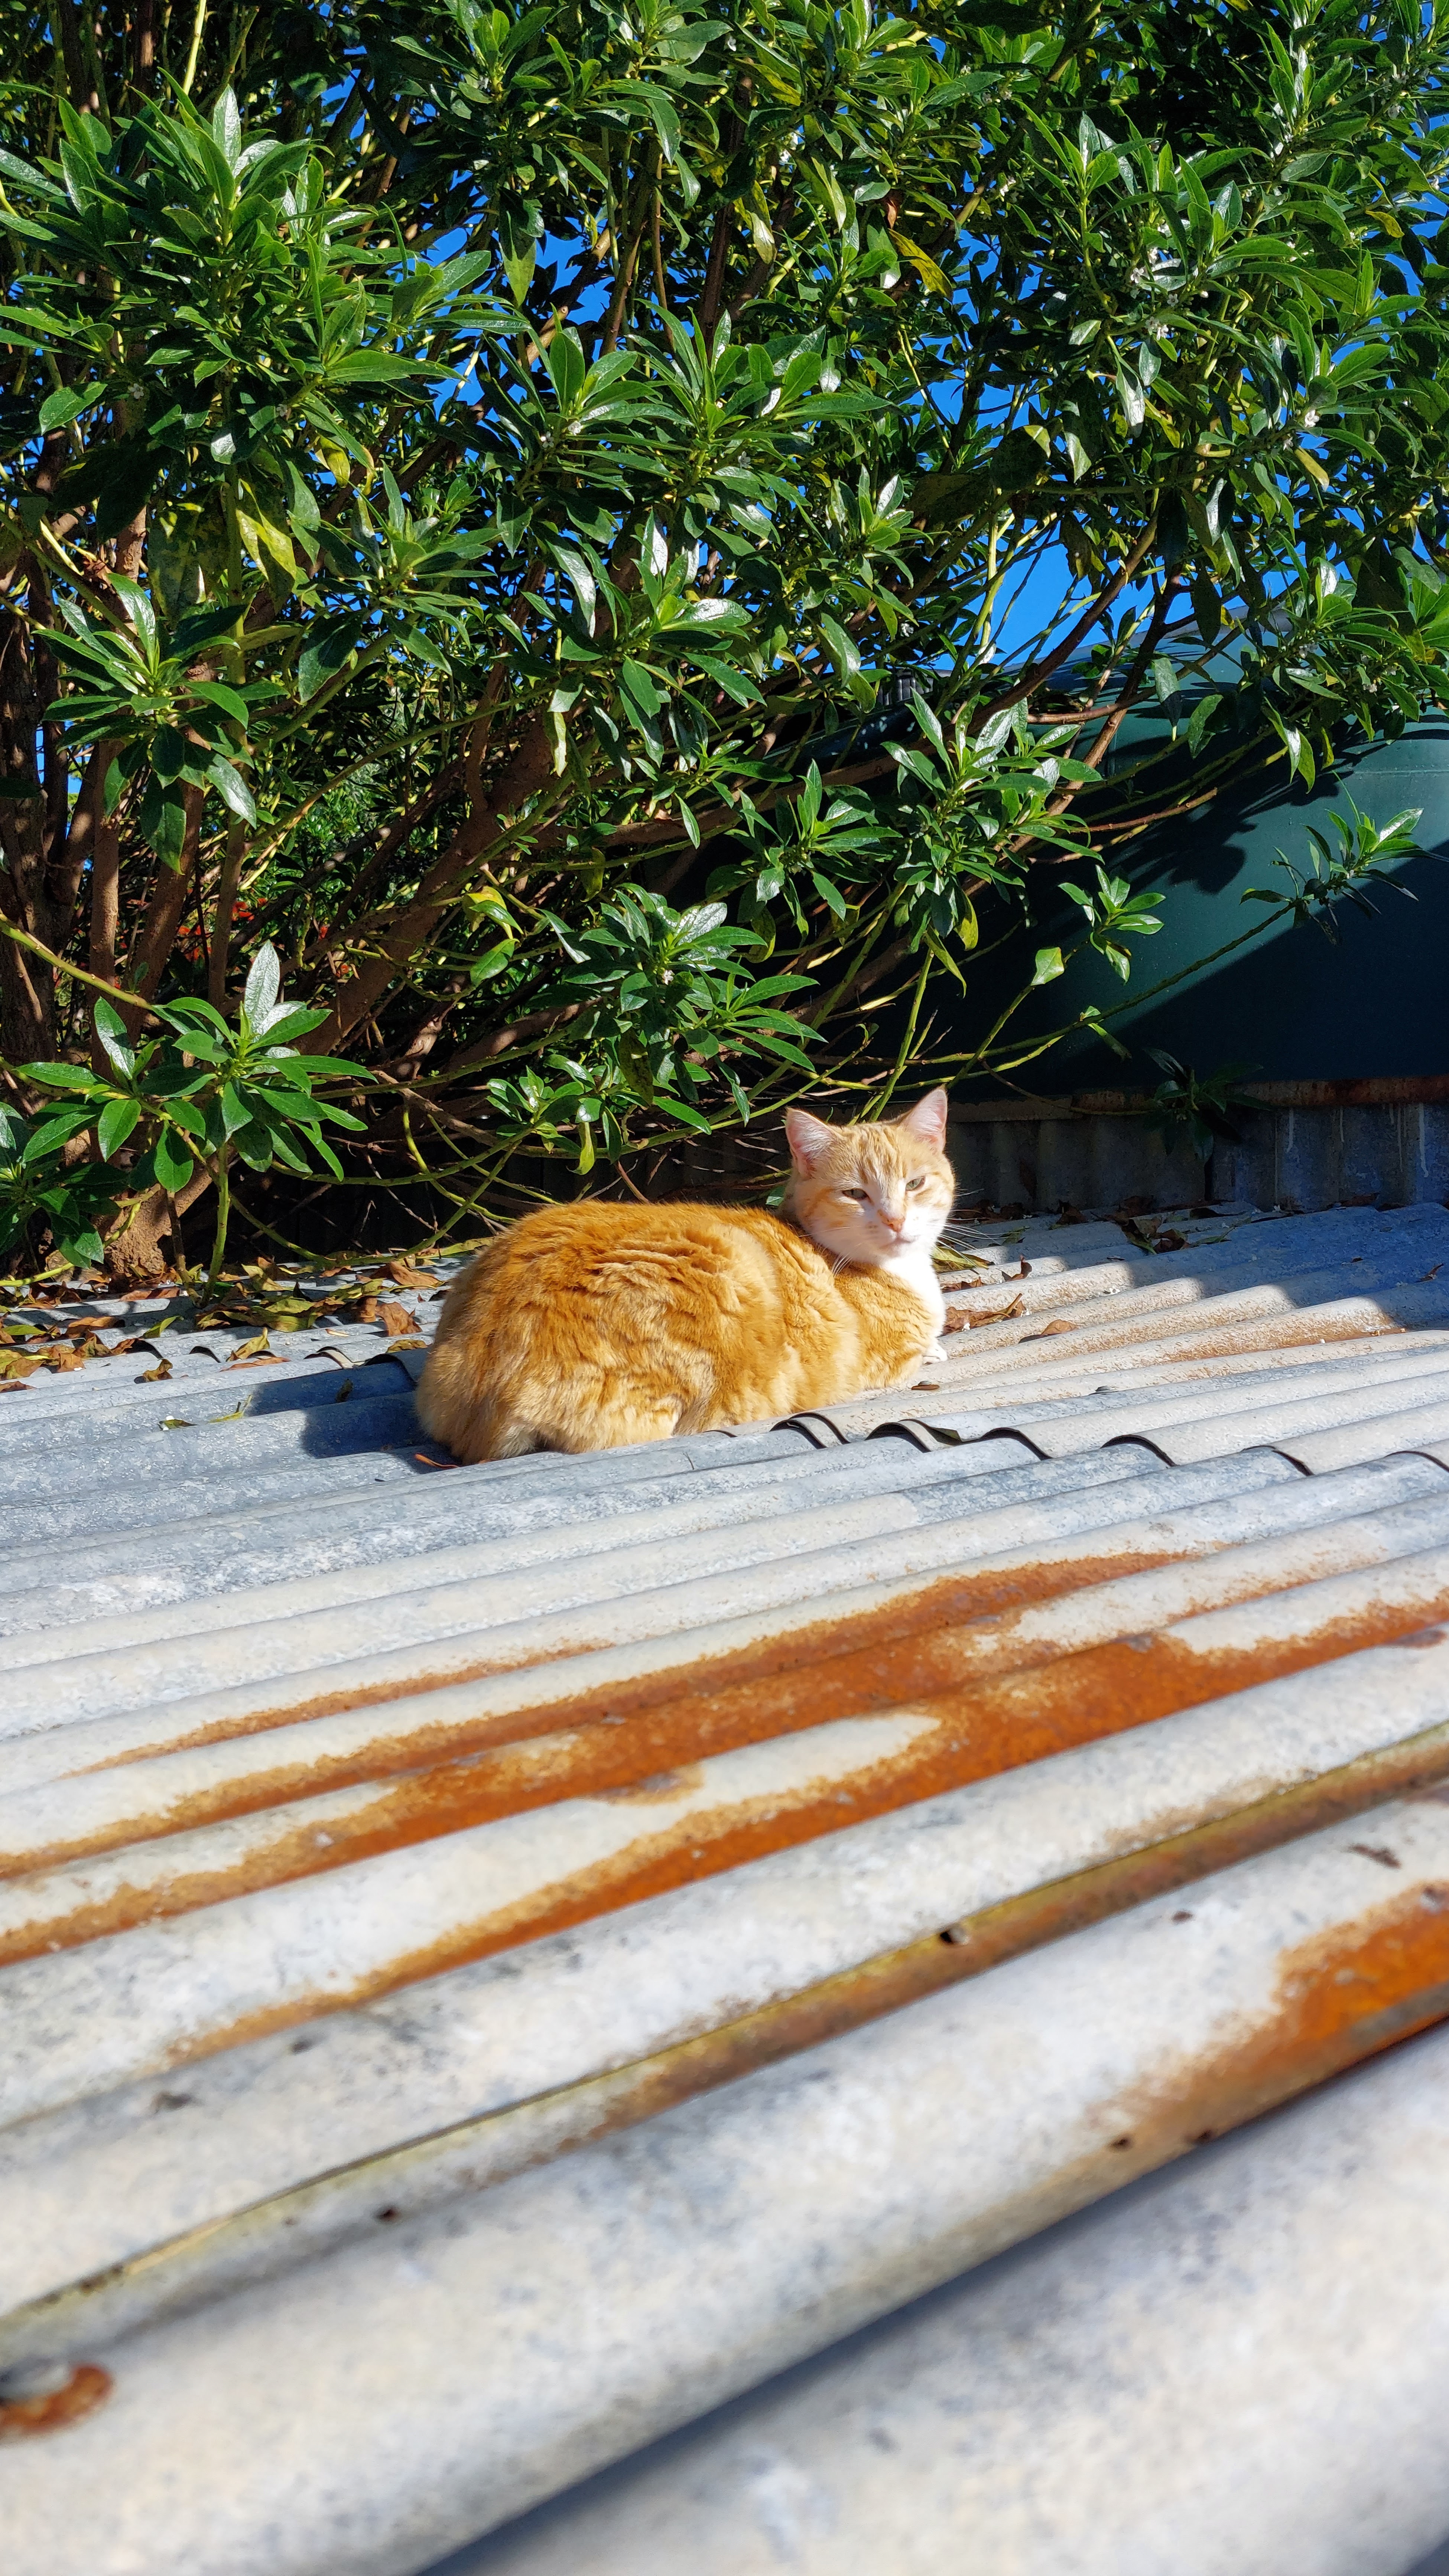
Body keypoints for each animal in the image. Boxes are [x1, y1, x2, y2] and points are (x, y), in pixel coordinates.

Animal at [412, 1087, 954, 1463]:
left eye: (915, 1184)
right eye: (855, 1194)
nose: (895, 1221)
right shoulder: (884, 1360)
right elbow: (917, 1352)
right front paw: (934, 1349)